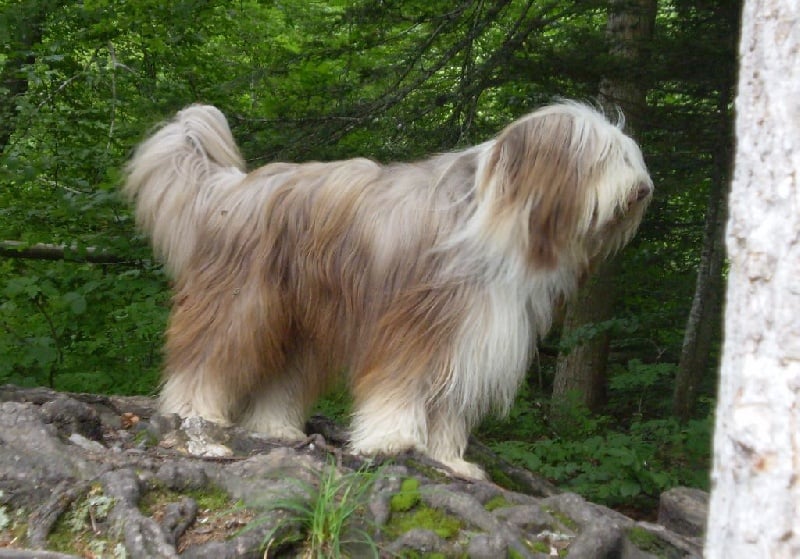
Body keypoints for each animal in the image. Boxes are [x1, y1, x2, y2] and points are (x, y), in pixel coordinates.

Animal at [123, 103, 648, 480]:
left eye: (627, 155)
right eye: (601, 157)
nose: (642, 190)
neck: (500, 218)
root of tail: (232, 189)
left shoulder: (465, 335)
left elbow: (450, 406)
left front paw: (449, 460)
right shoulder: (412, 327)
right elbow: (399, 389)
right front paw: (393, 441)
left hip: (301, 325)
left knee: (282, 377)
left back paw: (275, 428)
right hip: (241, 304)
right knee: (206, 356)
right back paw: (193, 413)